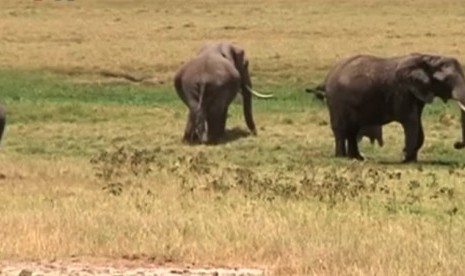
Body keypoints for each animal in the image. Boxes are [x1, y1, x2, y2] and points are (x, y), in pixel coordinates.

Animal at [320, 52, 464, 163]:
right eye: (446, 80)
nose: (456, 144)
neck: (429, 58)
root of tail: (329, 75)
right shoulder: (403, 91)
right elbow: (411, 122)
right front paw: (407, 160)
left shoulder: (417, 92)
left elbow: (418, 123)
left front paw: (409, 158)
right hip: (336, 101)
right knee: (341, 129)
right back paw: (341, 157)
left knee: (352, 130)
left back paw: (357, 158)